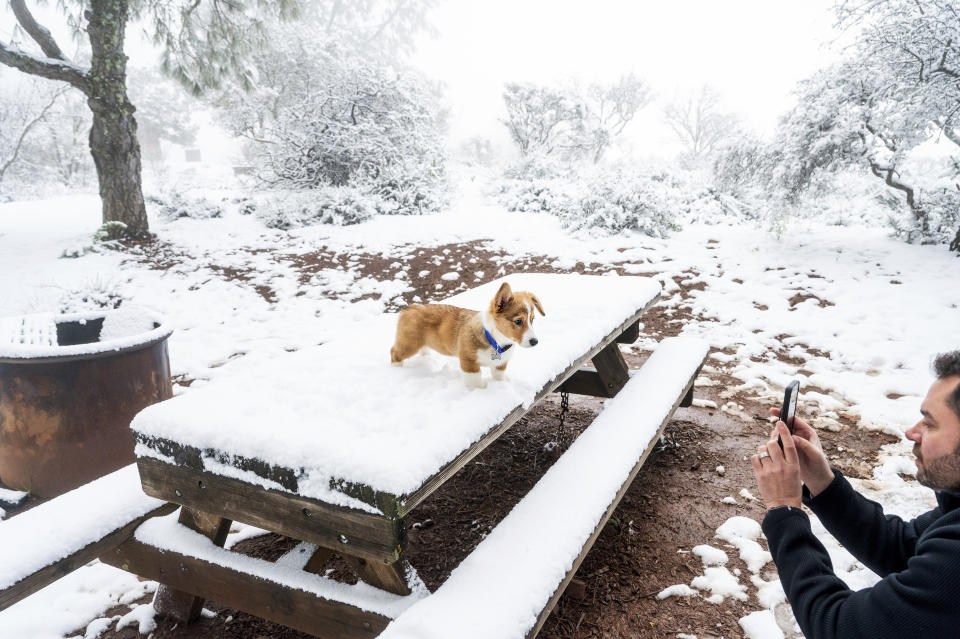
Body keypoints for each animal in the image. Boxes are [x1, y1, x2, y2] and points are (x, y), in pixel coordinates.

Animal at [388, 282, 540, 390]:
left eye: (532, 319)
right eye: (518, 321)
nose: (535, 342)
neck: (495, 340)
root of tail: (409, 308)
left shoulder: (500, 364)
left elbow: (498, 376)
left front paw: (501, 384)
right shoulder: (469, 363)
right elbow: (475, 380)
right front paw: (481, 390)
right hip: (409, 344)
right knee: (394, 352)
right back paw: (396, 369)